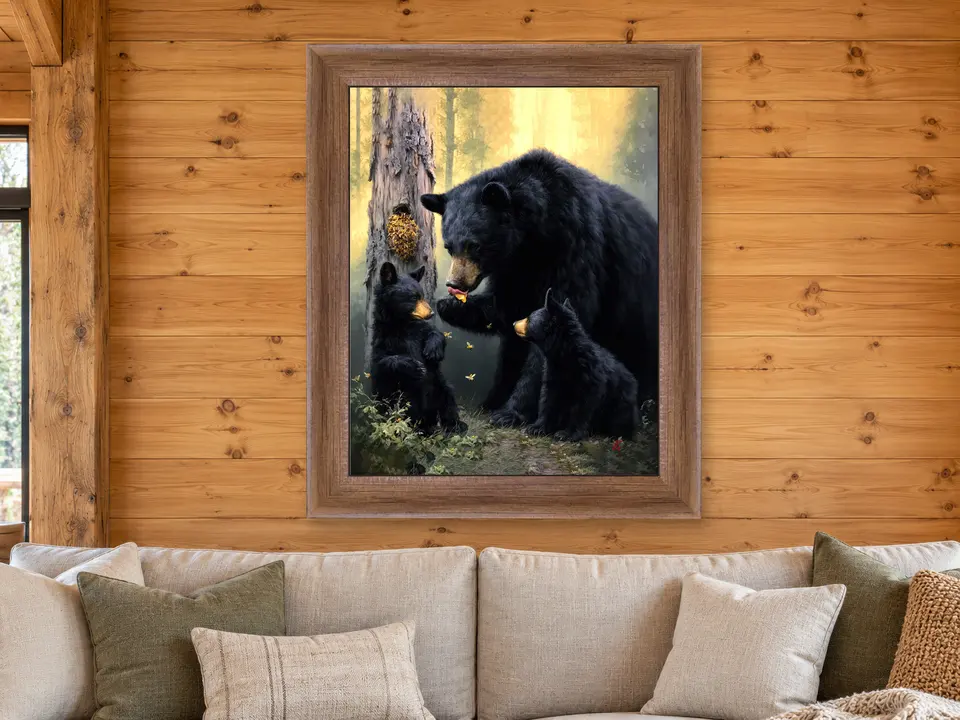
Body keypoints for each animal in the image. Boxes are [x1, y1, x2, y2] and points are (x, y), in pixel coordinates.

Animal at [369, 262, 466, 435]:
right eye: (414, 297)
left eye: (422, 295)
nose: (432, 313)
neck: (402, 324)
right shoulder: (382, 338)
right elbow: (383, 360)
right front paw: (416, 367)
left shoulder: (419, 329)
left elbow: (435, 333)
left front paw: (432, 352)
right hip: (403, 397)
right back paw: (422, 430)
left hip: (439, 385)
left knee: (448, 398)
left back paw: (456, 425)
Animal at [514, 288, 639, 442]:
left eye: (529, 318)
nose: (514, 323)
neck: (564, 355)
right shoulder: (553, 372)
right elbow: (548, 398)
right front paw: (536, 427)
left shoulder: (591, 376)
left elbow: (583, 406)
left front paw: (567, 433)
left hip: (621, 401)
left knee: (620, 420)